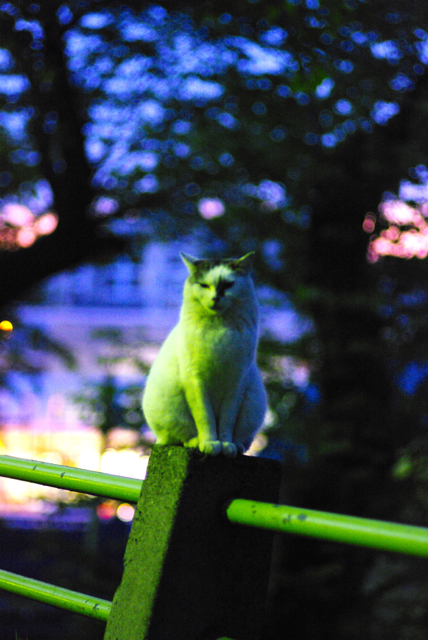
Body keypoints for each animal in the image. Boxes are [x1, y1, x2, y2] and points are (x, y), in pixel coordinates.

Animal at [142, 251, 267, 457]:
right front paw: (209, 443)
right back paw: (195, 442)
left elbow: (226, 421)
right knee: (177, 437)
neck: (219, 326)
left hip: (252, 408)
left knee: (243, 440)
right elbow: (205, 417)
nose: (216, 298)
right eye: (204, 285)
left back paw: (237, 446)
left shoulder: (236, 383)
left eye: (228, 285)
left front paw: (226, 444)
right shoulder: (195, 380)